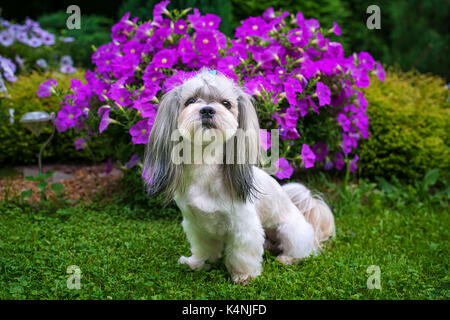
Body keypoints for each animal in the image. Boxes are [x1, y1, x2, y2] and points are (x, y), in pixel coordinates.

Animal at [142, 69, 336, 284]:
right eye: (190, 101)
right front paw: (198, 263)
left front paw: (244, 276)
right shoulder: (196, 224)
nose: (207, 110)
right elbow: (203, 247)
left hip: (289, 231)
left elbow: (241, 254)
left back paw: (287, 258)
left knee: (303, 250)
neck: (205, 168)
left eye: (226, 103)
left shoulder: (244, 226)